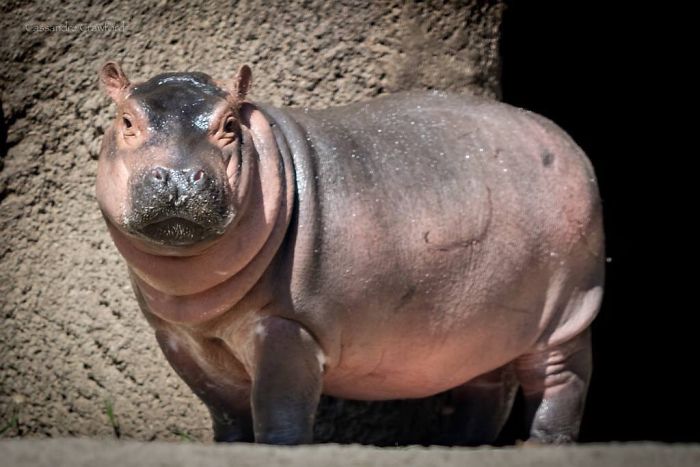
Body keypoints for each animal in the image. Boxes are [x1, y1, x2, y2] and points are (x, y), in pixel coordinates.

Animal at [96, 62, 604, 445]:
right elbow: (226, 413)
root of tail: (566, 140)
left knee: (561, 382)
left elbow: (279, 408)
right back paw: (455, 446)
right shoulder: (179, 340)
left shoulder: (287, 327)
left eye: (229, 124)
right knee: (486, 389)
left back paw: (542, 444)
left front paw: (277, 448)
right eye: (126, 121)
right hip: (485, 324)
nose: (180, 177)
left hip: (568, 312)